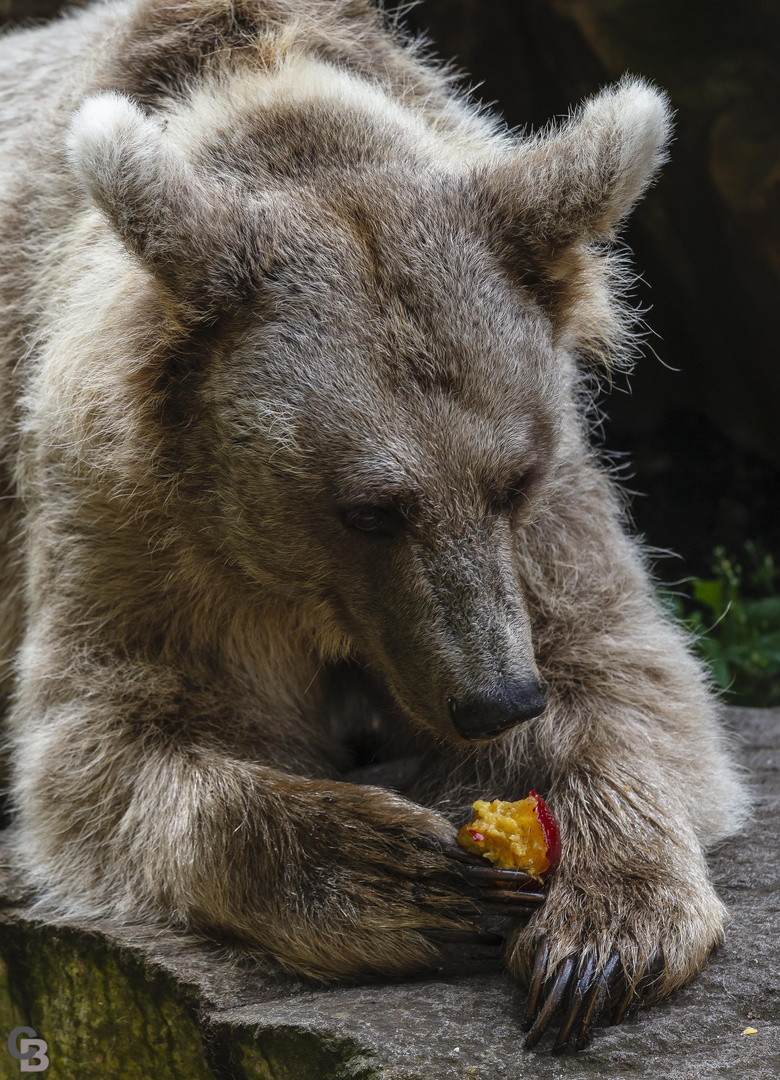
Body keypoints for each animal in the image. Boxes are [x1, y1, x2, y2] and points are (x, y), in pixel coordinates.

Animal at [0, 0, 743, 1054]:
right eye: (368, 510)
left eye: (511, 480)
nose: (497, 698)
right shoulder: (131, 516)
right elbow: (103, 741)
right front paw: (406, 875)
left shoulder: (550, 519)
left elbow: (625, 669)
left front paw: (603, 934)